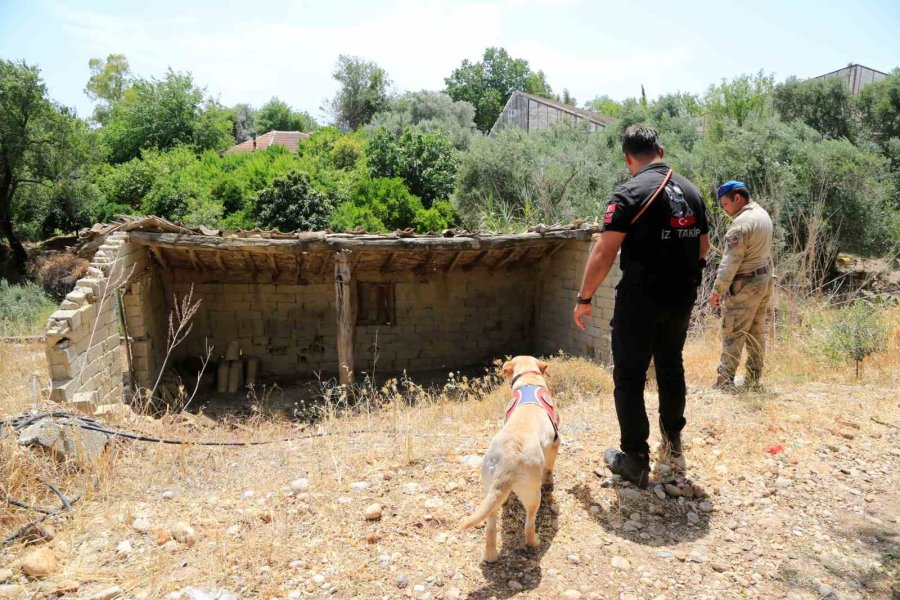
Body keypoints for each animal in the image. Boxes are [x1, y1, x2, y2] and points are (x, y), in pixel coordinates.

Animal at [460, 354, 560, 560]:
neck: (529, 380)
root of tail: (509, 458)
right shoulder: (555, 442)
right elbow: (549, 469)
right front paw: (549, 482)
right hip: (533, 495)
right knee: (528, 526)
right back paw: (534, 543)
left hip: (489, 490)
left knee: (490, 527)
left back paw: (490, 556)